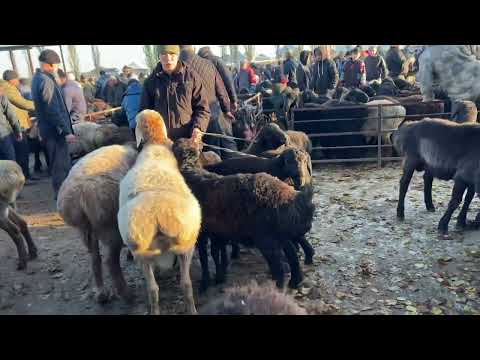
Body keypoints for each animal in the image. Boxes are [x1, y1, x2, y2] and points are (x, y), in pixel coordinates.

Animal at [57, 142, 139, 302]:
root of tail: (80, 195)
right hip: (109, 226)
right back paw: (126, 294)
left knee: (94, 258)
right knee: (110, 261)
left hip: (84, 229)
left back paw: (101, 293)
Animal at [119, 110, 203, 316]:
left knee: (153, 289)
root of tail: (159, 216)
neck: (155, 144)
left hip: (143, 254)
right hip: (185, 246)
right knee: (184, 285)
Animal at [172, 138, 316, 292]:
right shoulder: (217, 232)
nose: (300, 179)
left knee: (279, 267)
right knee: (292, 255)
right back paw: (295, 281)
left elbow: (205, 258)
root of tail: (292, 196)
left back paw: (278, 288)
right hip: (278, 234)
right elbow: (216, 253)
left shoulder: (202, 233)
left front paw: (205, 283)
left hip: (266, 237)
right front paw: (220, 276)